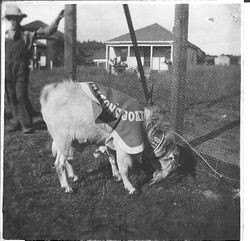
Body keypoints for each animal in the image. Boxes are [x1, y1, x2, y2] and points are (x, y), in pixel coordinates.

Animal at [40, 81, 182, 194]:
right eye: (170, 161)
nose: (163, 178)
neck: (145, 129)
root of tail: (48, 94)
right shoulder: (125, 142)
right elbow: (123, 167)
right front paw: (130, 187)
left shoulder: (110, 140)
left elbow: (112, 158)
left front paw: (116, 175)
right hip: (63, 138)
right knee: (59, 163)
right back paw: (67, 187)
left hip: (70, 141)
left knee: (66, 160)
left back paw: (73, 176)